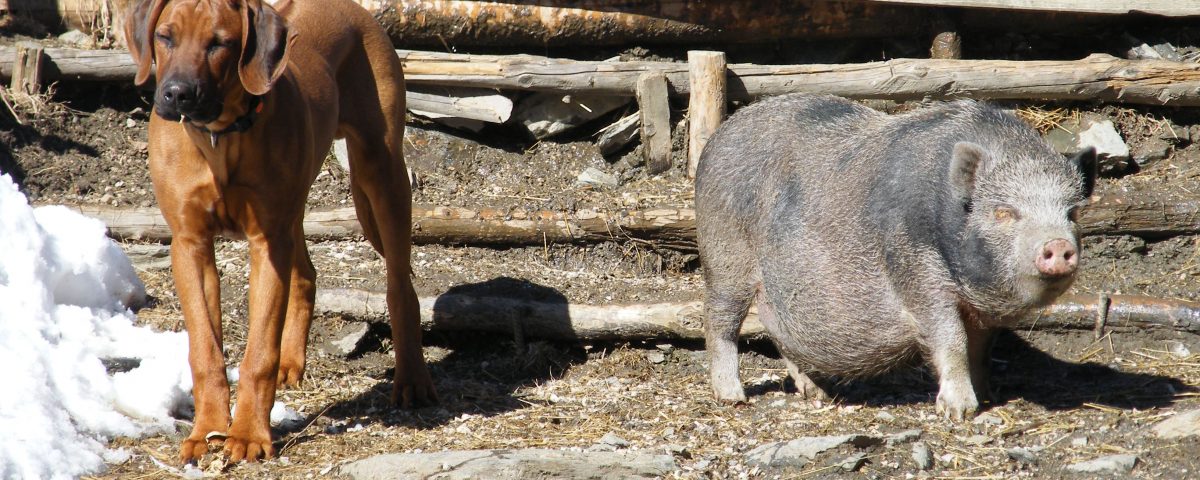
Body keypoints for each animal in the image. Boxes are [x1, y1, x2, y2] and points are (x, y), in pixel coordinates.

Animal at [125, 0, 436, 463]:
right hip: (295, 207)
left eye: (220, 43)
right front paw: (207, 430)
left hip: (380, 173)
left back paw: (412, 377)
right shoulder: (190, 243)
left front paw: (248, 434)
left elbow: (258, 354)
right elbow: (205, 351)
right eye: (165, 37)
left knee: (400, 284)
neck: (220, 137)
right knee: (305, 274)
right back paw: (292, 361)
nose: (177, 94)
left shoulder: (266, 242)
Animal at [696, 93, 1099, 420]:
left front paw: (988, 397)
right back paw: (733, 398)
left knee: (778, 333)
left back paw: (818, 396)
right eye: (1004, 212)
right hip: (724, 254)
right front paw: (960, 412)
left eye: (1072, 213)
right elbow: (951, 339)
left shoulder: (980, 312)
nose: (1057, 244)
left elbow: (980, 349)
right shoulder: (917, 274)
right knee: (718, 321)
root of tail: (718, 137)